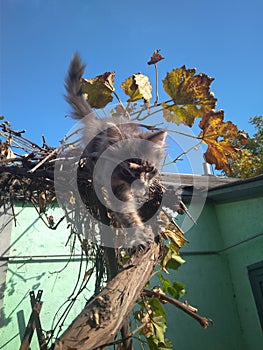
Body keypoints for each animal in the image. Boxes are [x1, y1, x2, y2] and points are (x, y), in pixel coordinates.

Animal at [64, 53, 166, 247]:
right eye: (127, 170)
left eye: (150, 169)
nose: (140, 184)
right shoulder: (115, 188)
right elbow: (128, 213)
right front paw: (139, 236)